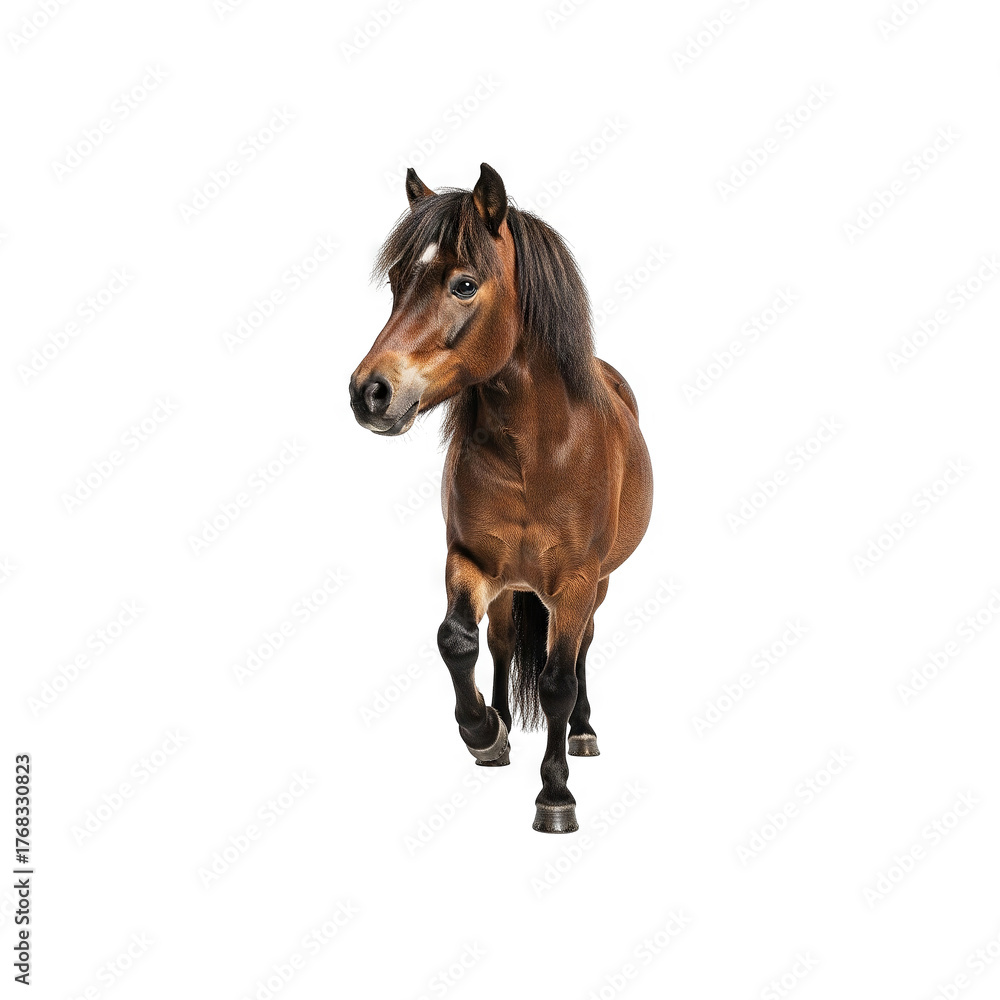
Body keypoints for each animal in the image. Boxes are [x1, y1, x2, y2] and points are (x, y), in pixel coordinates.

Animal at [349, 163, 653, 833]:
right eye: (397, 280)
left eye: (464, 284)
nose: (370, 392)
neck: (534, 456)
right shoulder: (470, 561)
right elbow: (456, 641)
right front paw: (483, 731)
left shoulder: (575, 581)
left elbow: (558, 681)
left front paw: (555, 794)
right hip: (513, 588)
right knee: (503, 644)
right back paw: (504, 725)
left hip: (595, 586)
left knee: (580, 653)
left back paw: (583, 733)